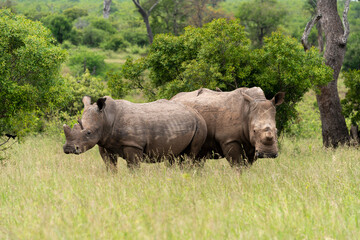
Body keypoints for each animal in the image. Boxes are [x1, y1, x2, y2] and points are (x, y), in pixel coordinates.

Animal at [63, 95, 207, 171]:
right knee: (174, 156)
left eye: (88, 133)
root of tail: (196, 112)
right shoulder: (104, 143)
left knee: (190, 155)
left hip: (200, 125)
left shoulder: (133, 144)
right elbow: (110, 166)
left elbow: (133, 167)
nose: (69, 148)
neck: (106, 117)